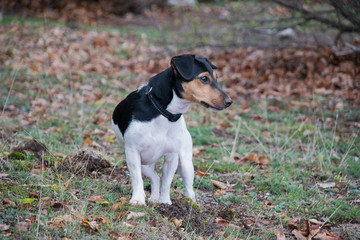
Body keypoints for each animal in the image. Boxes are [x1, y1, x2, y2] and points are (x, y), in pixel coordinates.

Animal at [111, 54, 232, 204]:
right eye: (204, 78)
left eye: (216, 77)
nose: (229, 102)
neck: (164, 112)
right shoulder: (132, 152)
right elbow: (137, 179)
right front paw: (138, 200)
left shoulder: (172, 156)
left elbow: (167, 181)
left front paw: (165, 202)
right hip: (144, 163)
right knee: (154, 177)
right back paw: (153, 198)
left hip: (185, 164)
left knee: (188, 187)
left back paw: (190, 202)